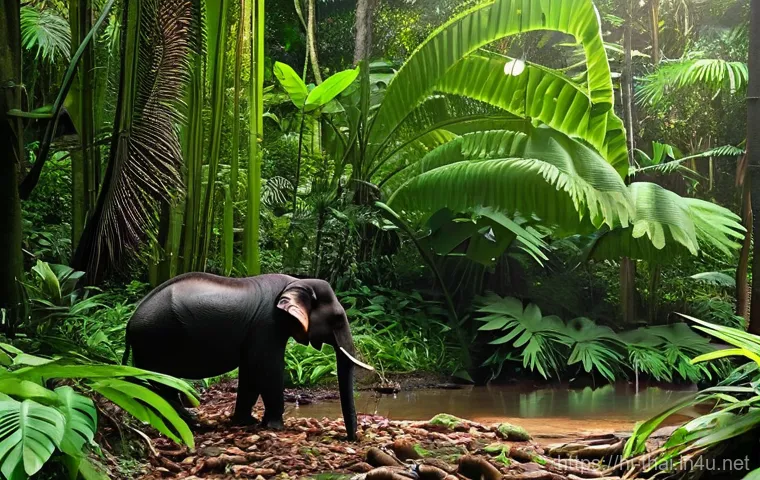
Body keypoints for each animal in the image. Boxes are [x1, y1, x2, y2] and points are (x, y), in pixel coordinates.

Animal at [122, 272, 372, 440]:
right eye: (338, 318)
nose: (350, 438)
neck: (296, 281)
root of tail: (129, 324)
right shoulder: (268, 325)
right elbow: (266, 367)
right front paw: (275, 427)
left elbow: (251, 370)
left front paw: (246, 422)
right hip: (157, 341)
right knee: (161, 382)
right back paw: (187, 421)